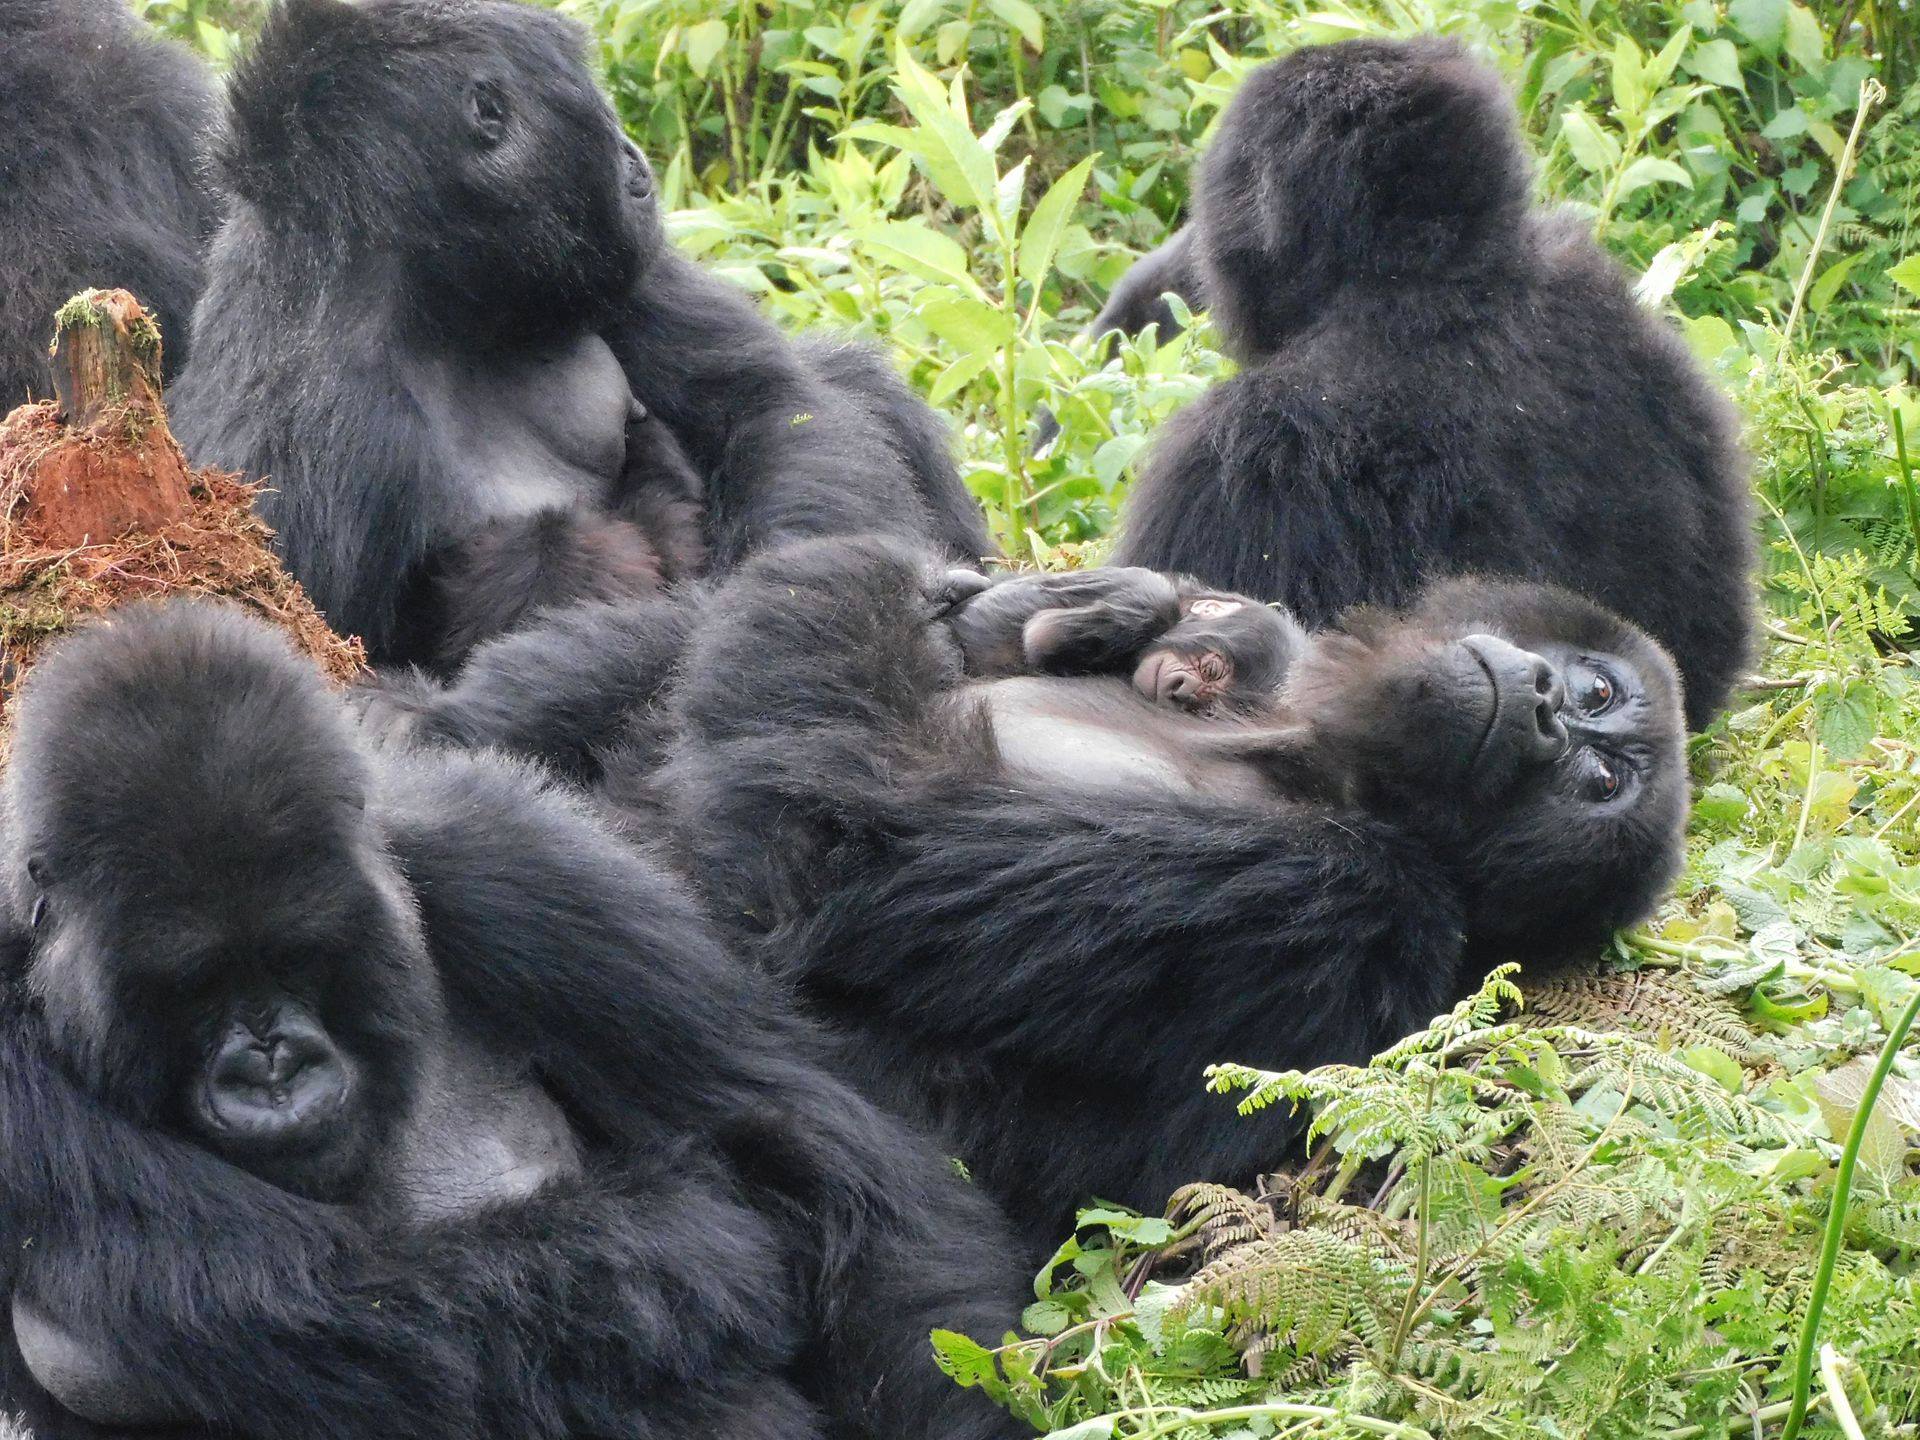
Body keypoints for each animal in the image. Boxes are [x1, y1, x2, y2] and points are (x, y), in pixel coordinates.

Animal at [0, 602, 1029, 1436]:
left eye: (299, 956)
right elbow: (333, 1296)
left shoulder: (512, 861)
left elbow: (810, 1135)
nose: (272, 1064)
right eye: (194, 986)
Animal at [641, 541, 1681, 1251]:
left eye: (1597, 781)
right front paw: (1060, 604)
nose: (1543, 699)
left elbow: (847, 828)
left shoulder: (1355, 898)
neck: (1312, 764)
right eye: (1594, 689)